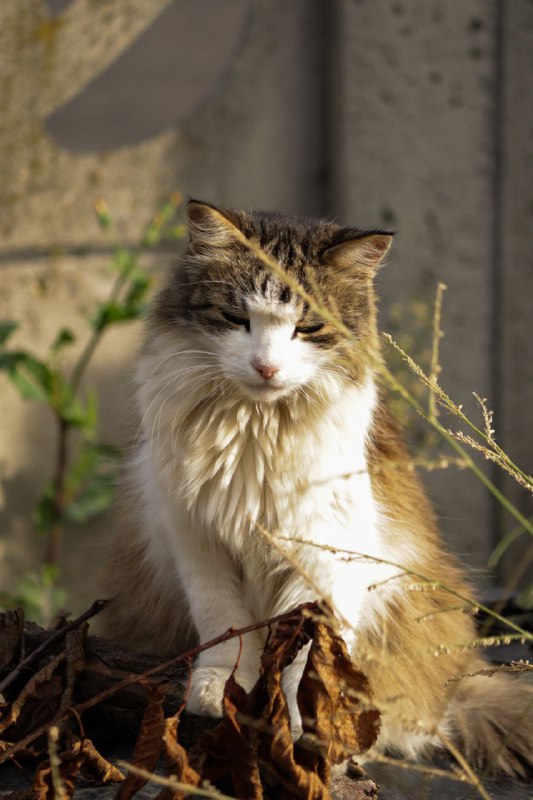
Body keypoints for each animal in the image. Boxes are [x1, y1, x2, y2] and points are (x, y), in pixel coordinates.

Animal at [102, 198, 528, 776]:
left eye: (306, 327)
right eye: (236, 319)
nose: (266, 366)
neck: (257, 430)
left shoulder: (324, 552)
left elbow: (308, 657)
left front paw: (300, 719)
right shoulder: (198, 539)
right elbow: (224, 626)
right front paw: (219, 689)